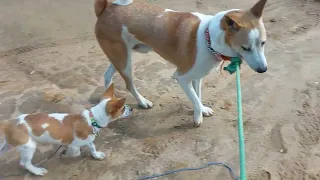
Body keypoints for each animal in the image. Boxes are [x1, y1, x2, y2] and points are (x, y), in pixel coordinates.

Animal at [0, 84, 132, 176]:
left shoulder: (88, 138)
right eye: (122, 108)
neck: (91, 119)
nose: (131, 109)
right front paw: (65, 154)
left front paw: (96, 155)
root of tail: (9, 123)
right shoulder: (74, 145)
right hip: (28, 146)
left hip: (8, 144)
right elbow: (76, 152)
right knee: (25, 163)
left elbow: (92, 146)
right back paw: (37, 171)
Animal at [94, 0, 268, 126]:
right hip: (124, 62)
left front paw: (201, 111)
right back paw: (142, 102)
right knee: (129, 84)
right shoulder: (182, 77)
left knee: (107, 75)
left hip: (121, 57)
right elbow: (195, 98)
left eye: (263, 43)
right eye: (246, 48)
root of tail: (106, 7)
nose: (263, 69)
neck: (208, 38)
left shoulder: (197, 76)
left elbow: (197, 95)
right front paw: (198, 115)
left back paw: (108, 98)